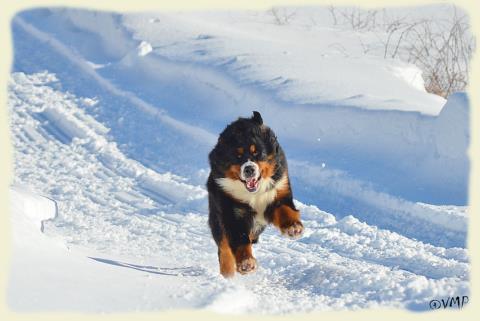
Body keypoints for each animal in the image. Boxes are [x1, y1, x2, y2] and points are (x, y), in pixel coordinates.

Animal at [206, 111, 304, 276]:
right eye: (237, 156)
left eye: (257, 152)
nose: (249, 169)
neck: (254, 194)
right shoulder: (232, 212)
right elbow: (239, 239)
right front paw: (246, 263)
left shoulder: (277, 192)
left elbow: (285, 210)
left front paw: (293, 228)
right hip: (216, 214)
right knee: (223, 244)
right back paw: (227, 272)